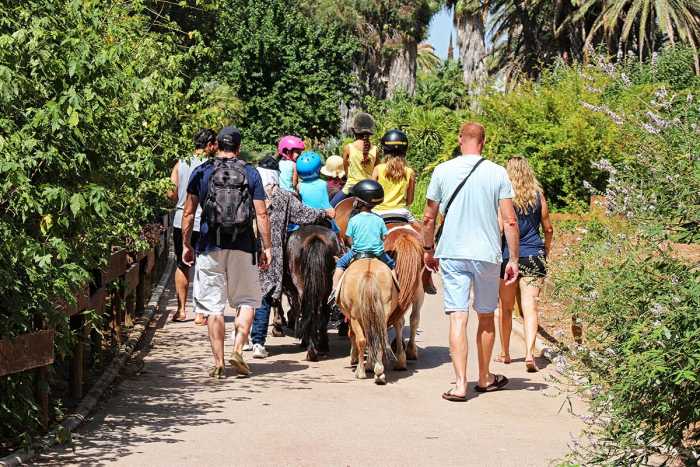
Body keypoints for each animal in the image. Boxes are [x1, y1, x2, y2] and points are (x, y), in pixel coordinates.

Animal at [284, 225, 340, 364]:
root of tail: (315, 237)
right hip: (327, 287)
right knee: (321, 313)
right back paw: (319, 347)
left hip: (301, 286)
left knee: (307, 312)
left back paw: (311, 349)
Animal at [340, 258, 400, 386]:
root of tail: (369, 272)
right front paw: (370, 365)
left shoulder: (353, 319)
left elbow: (355, 337)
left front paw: (357, 362)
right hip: (383, 314)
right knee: (380, 340)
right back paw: (379, 373)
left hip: (355, 317)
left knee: (361, 340)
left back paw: (361, 372)